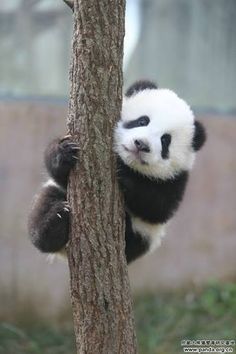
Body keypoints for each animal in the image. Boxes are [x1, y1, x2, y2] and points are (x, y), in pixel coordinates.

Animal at [28, 80, 206, 262]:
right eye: (142, 121)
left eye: (165, 140)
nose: (141, 144)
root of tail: (64, 251)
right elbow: (57, 169)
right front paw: (65, 152)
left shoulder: (177, 179)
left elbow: (158, 207)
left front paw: (126, 176)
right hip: (54, 196)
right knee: (44, 210)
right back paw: (55, 222)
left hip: (142, 237)